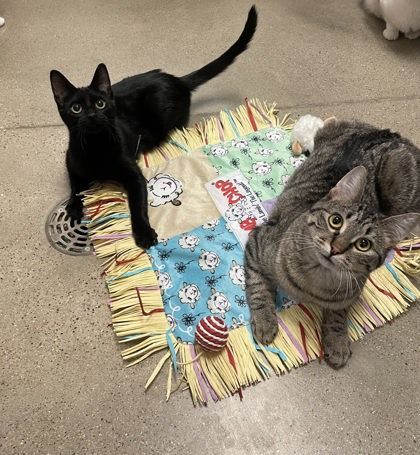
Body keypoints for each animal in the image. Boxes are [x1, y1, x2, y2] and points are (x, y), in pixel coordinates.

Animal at [50, 6, 257, 249]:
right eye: (76, 108)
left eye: (100, 104)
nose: (92, 115)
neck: (95, 146)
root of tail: (177, 80)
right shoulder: (71, 162)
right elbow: (75, 185)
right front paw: (73, 206)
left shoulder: (134, 176)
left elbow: (137, 206)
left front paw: (143, 233)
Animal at [245, 119, 420, 368]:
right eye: (335, 220)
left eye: (364, 244)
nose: (335, 248)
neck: (314, 283)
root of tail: (389, 134)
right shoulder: (257, 243)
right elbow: (258, 287)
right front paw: (265, 321)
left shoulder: (350, 294)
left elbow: (337, 315)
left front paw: (336, 341)